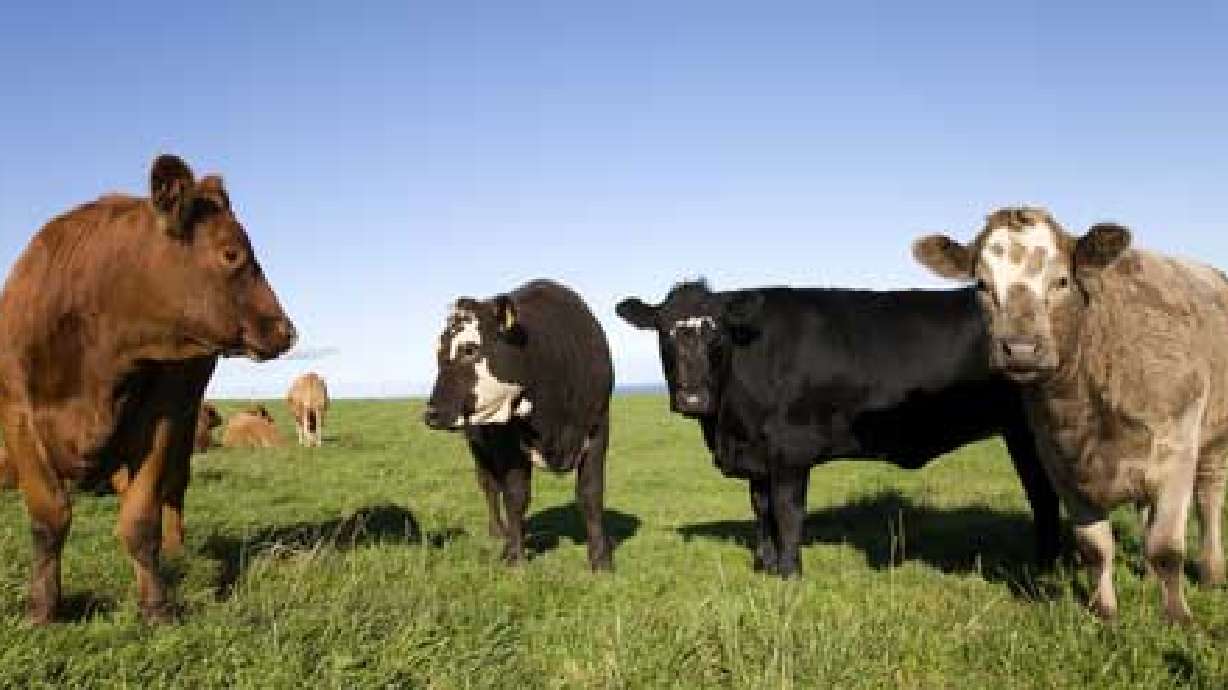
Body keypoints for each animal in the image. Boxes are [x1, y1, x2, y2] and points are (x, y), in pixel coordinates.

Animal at [0, 154, 295, 624]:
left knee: (172, 489)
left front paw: (156, 604)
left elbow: (141, 517)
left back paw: (175, 551)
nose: (287, 330)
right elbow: (49, 516)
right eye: (231, 253)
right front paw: (42, 608)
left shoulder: (163, 417)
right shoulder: (17, 416)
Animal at [423, 279, 615, 571]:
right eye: (438, 354)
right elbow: (515, 495)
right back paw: (499, 533)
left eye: (470, 349)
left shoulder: (598, 427)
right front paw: (514, 556)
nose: (431, 413)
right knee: (490, 486)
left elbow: (591, 494)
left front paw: (601, 559)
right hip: (477, 445)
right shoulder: (505, 440)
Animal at [617, 280, 1060, 578]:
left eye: (717, 334)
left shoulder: (790, 449)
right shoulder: (759, 456)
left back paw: (1044, 569)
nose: (692, 398)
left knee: (1044, 499)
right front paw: (764, 566)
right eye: (664, 333)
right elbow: (761, 509)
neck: (728, 427)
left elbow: (787, 511)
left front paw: (790, 573)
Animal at [914, 207, 1228, 623]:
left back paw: (1211, 572)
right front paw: (1103, 611)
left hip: (1214, 439)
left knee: (1209, 500)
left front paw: (1177, 617)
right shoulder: (1058, 462)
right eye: (981, 284)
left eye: (1062, 280)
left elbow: (1166, 548)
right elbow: (1095, 546)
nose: (1020, 349)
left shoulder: (1175, 450)